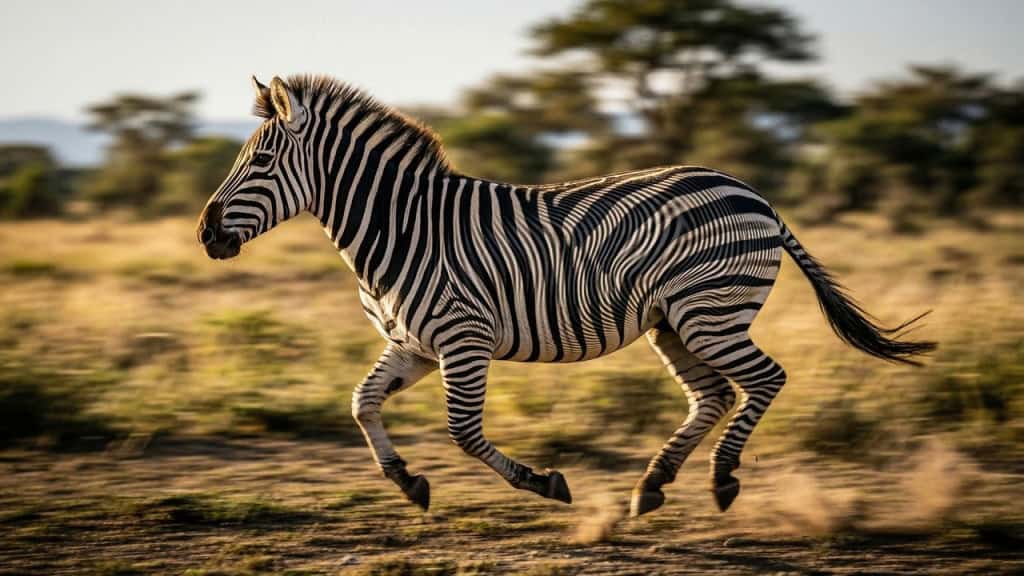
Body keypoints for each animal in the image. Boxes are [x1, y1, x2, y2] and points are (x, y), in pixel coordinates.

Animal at [197, 75, 935, 517]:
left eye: (260, 162)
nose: (205, 234)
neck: (402, 227)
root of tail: (753, 193)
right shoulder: (414, 346)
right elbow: (360, 403)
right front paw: (407, 481)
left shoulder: (462, 339)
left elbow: (464, 432)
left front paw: (544, 483)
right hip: (674, 321)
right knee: (715, 395)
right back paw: (651, 486)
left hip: (710, 310)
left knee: (765, 380)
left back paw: (722, 480)